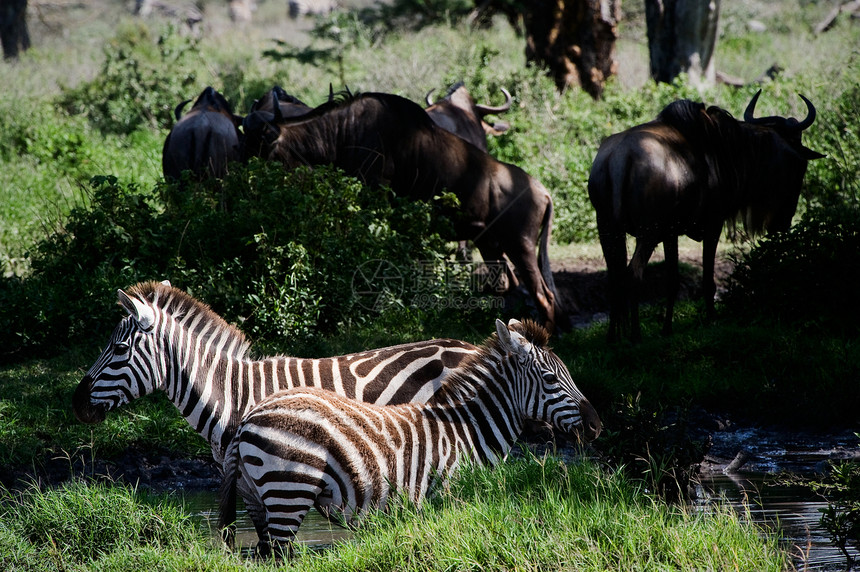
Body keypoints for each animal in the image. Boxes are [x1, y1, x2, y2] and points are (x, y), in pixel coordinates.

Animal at [218, 316, 600, 556]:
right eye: (551, 378)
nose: (596, 425)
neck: (467, 428)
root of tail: (251, 415)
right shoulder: (450, 496)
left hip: (260, 495)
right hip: (289, 490)